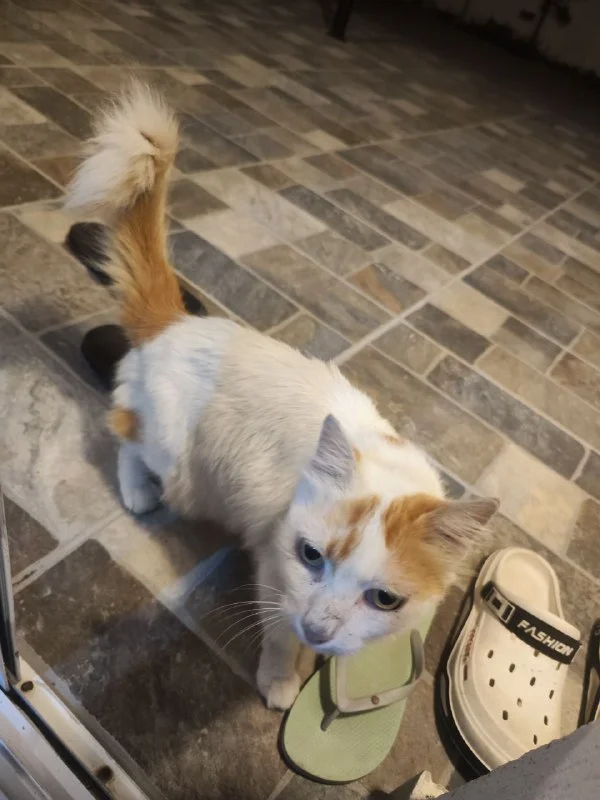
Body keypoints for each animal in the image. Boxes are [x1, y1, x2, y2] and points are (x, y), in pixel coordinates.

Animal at [66, 83, 497, 711]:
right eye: (310, 556)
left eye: (385, 600)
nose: (319, 626)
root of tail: (179, 321)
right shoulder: (274, 562)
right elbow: (276, 630)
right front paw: (281, 677)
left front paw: (314, 660)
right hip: (179, 464)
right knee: (124, 435)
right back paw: (139, 493)